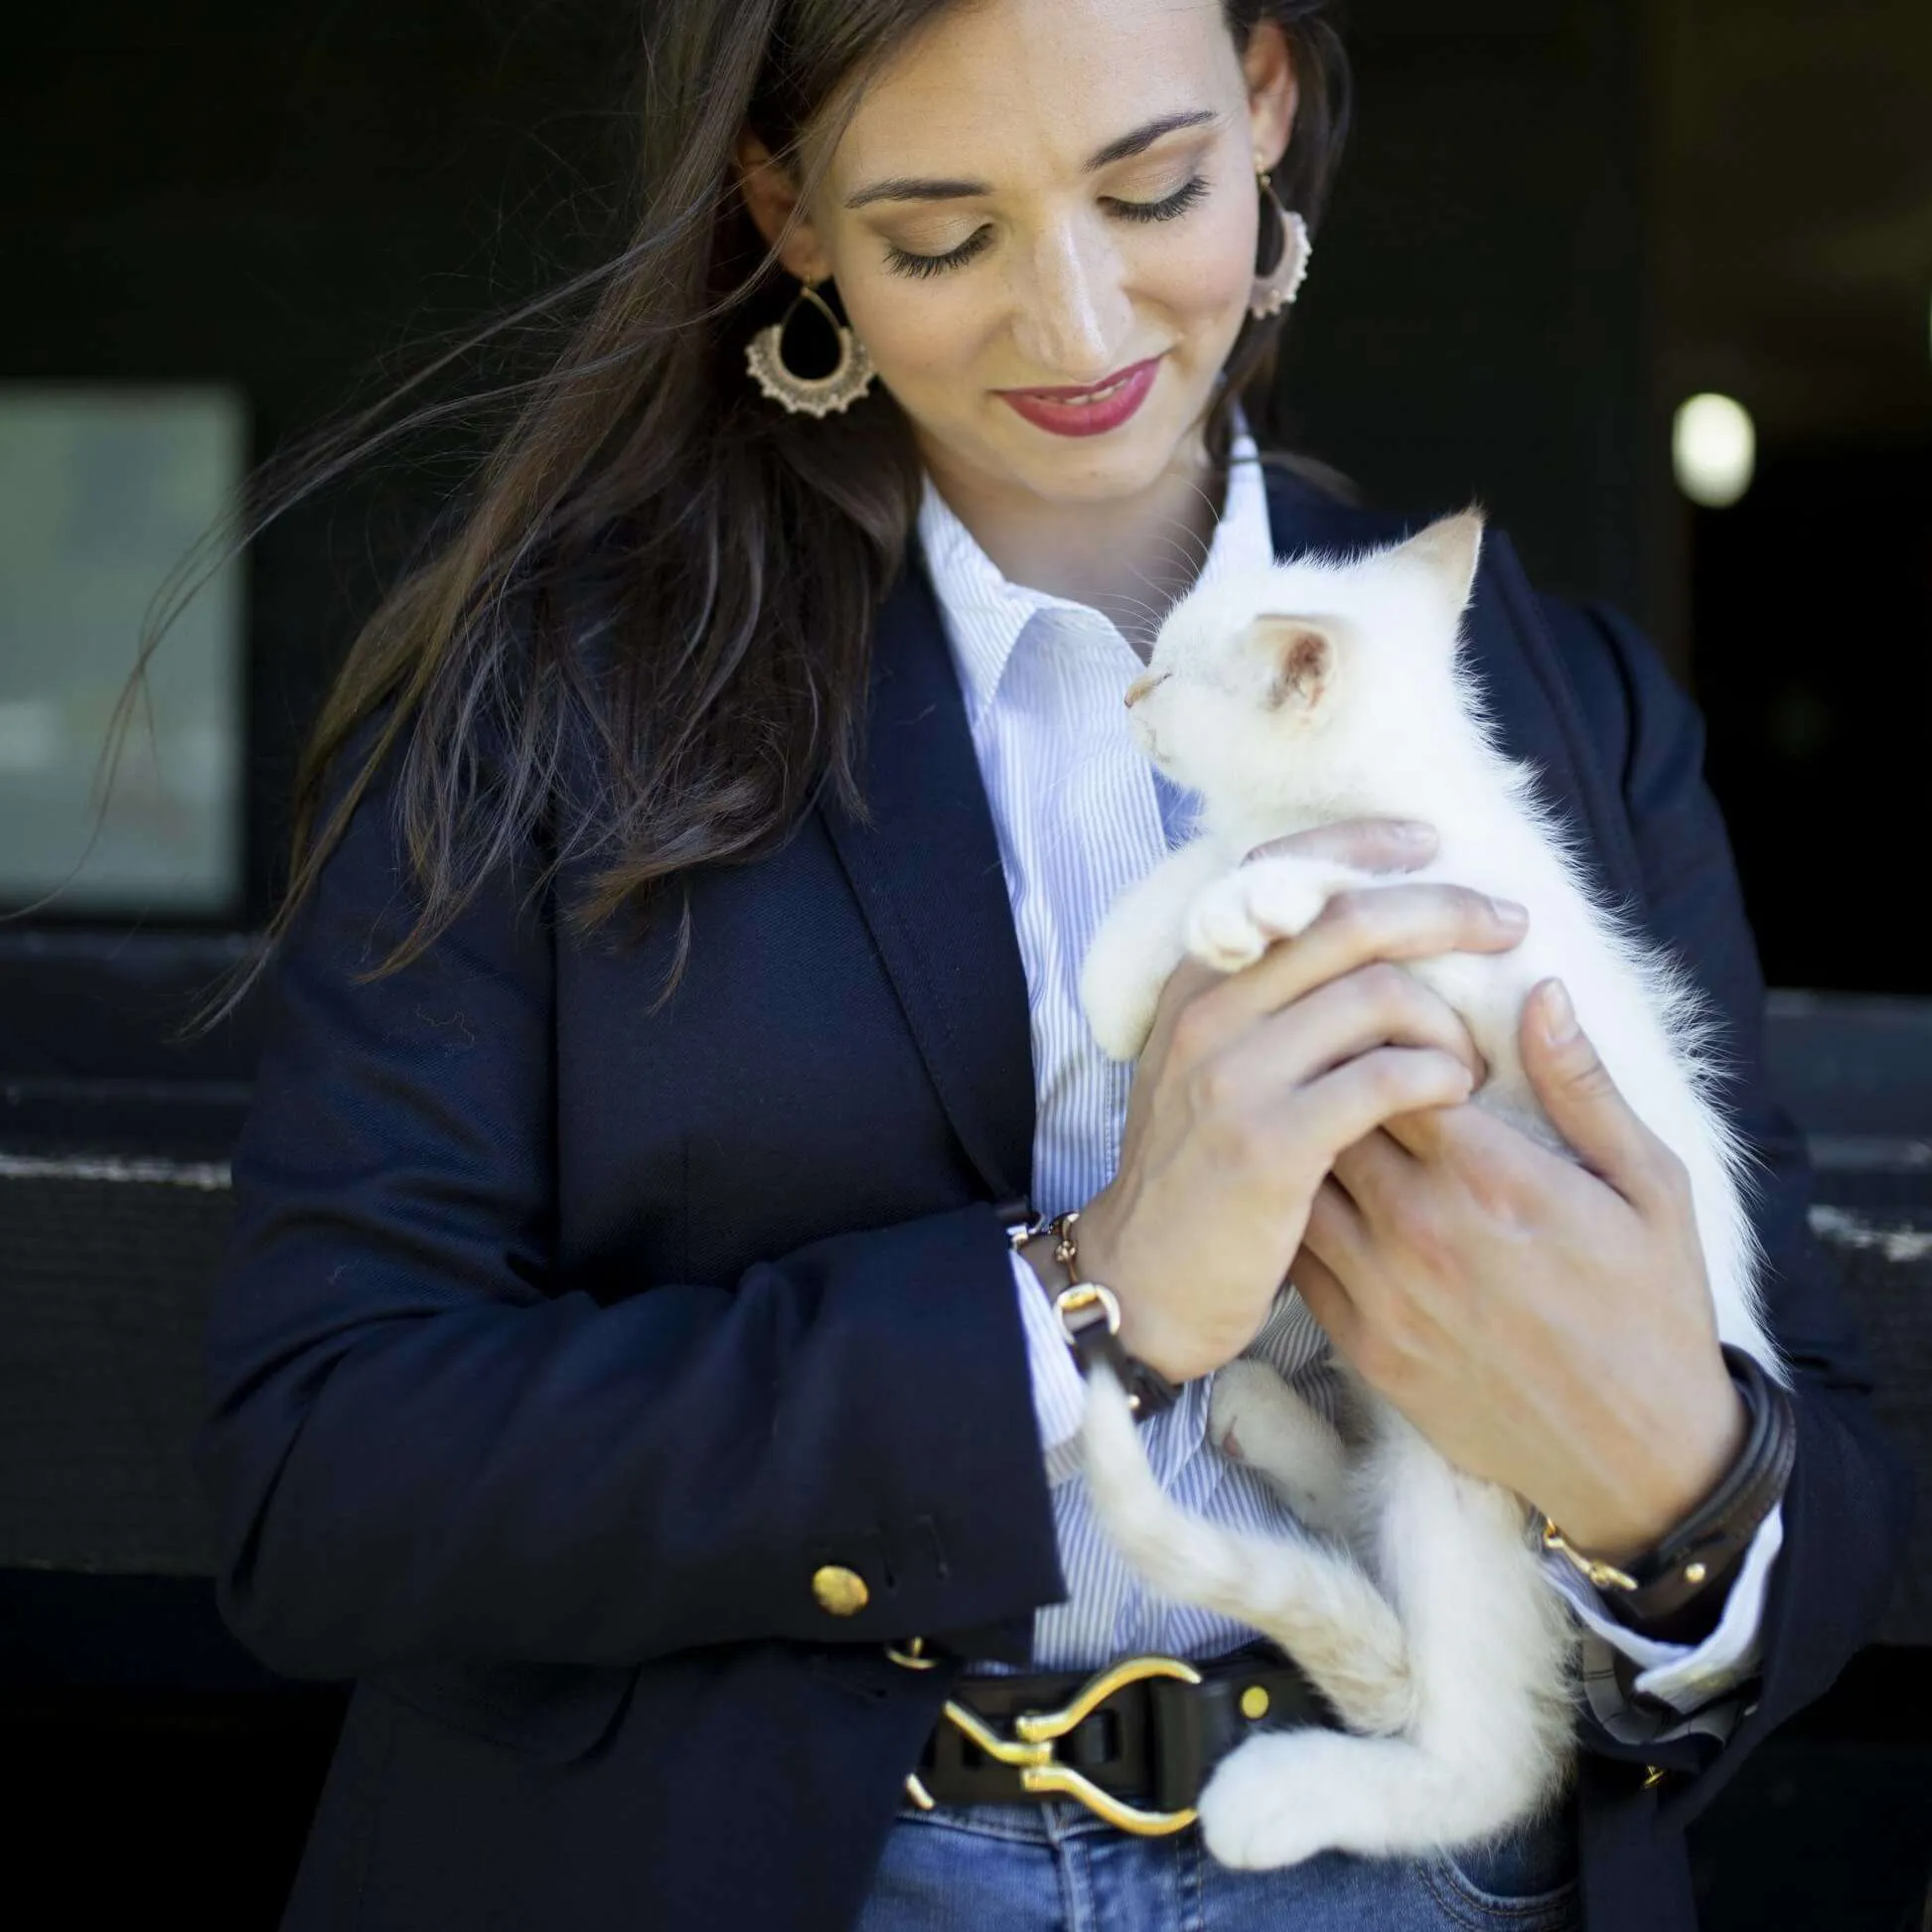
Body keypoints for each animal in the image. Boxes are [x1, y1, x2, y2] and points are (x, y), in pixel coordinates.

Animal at [1074, 510, 1777, 1869]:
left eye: (1173, 672)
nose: (1127, 693)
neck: (1399, 790)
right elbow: (1200, 854)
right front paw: (1124, 973)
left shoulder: (1490, 978)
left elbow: (1343, 878)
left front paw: (1255, 897)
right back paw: (1268, 1417)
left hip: (1469, 1487)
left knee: (1489, 1760)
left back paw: (1285, 1793)